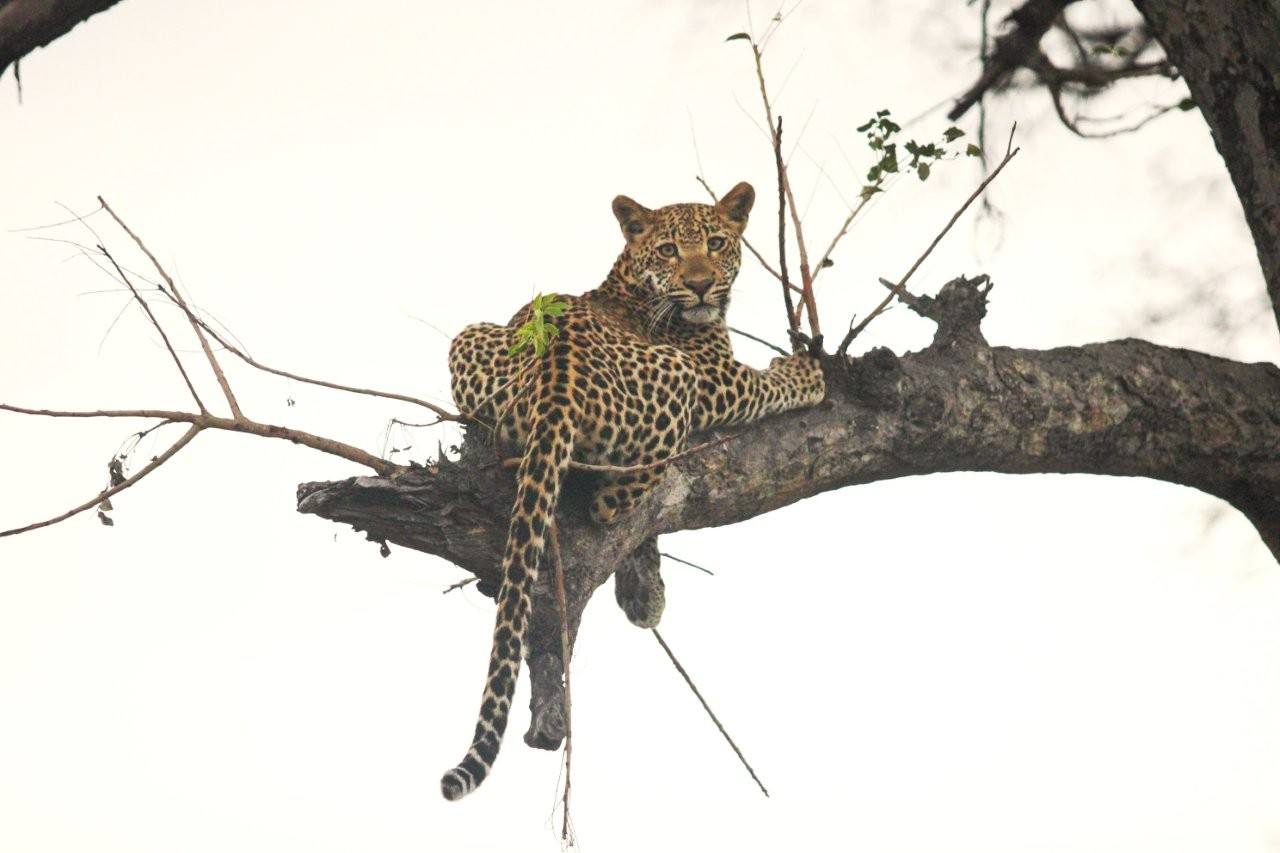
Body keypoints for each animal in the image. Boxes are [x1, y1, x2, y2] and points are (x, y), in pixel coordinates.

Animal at [440, 181, 826, 800]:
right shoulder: (717, 376)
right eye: (669, 250)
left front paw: (643, 595)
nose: (700, 282)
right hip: (683, 380)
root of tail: (557, 370)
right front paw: (807, 373)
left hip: (470, 336)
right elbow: (767, 382)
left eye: (716, 243)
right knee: (614, 498)